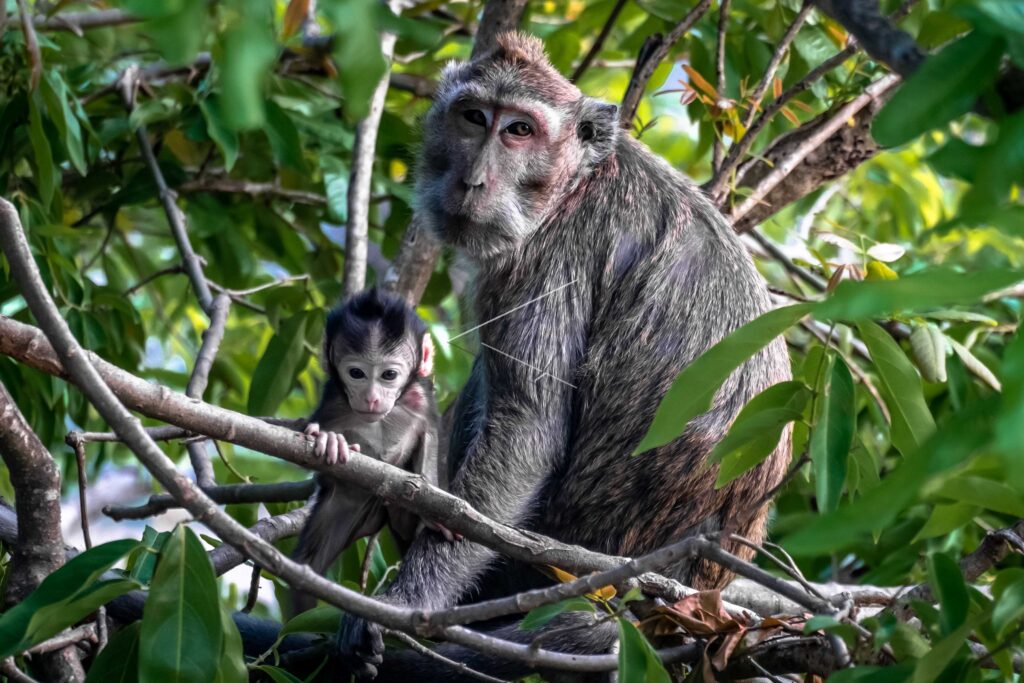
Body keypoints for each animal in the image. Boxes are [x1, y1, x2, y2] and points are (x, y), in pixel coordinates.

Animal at [290, 287, 447, 616]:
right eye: (356, 373)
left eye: (388, 375)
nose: (372, 398)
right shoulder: (334, 401)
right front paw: (330, 440)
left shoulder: (421, 398)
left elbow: (428, 437)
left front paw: (431, 508)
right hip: (343, 504)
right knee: (305, 568)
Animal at [336, 33, 792, 681]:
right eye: (474, 118)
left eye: (519, 131)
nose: (473, 181)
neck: (574, 184)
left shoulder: (548, 258)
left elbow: (529, 430)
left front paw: (402, 603)